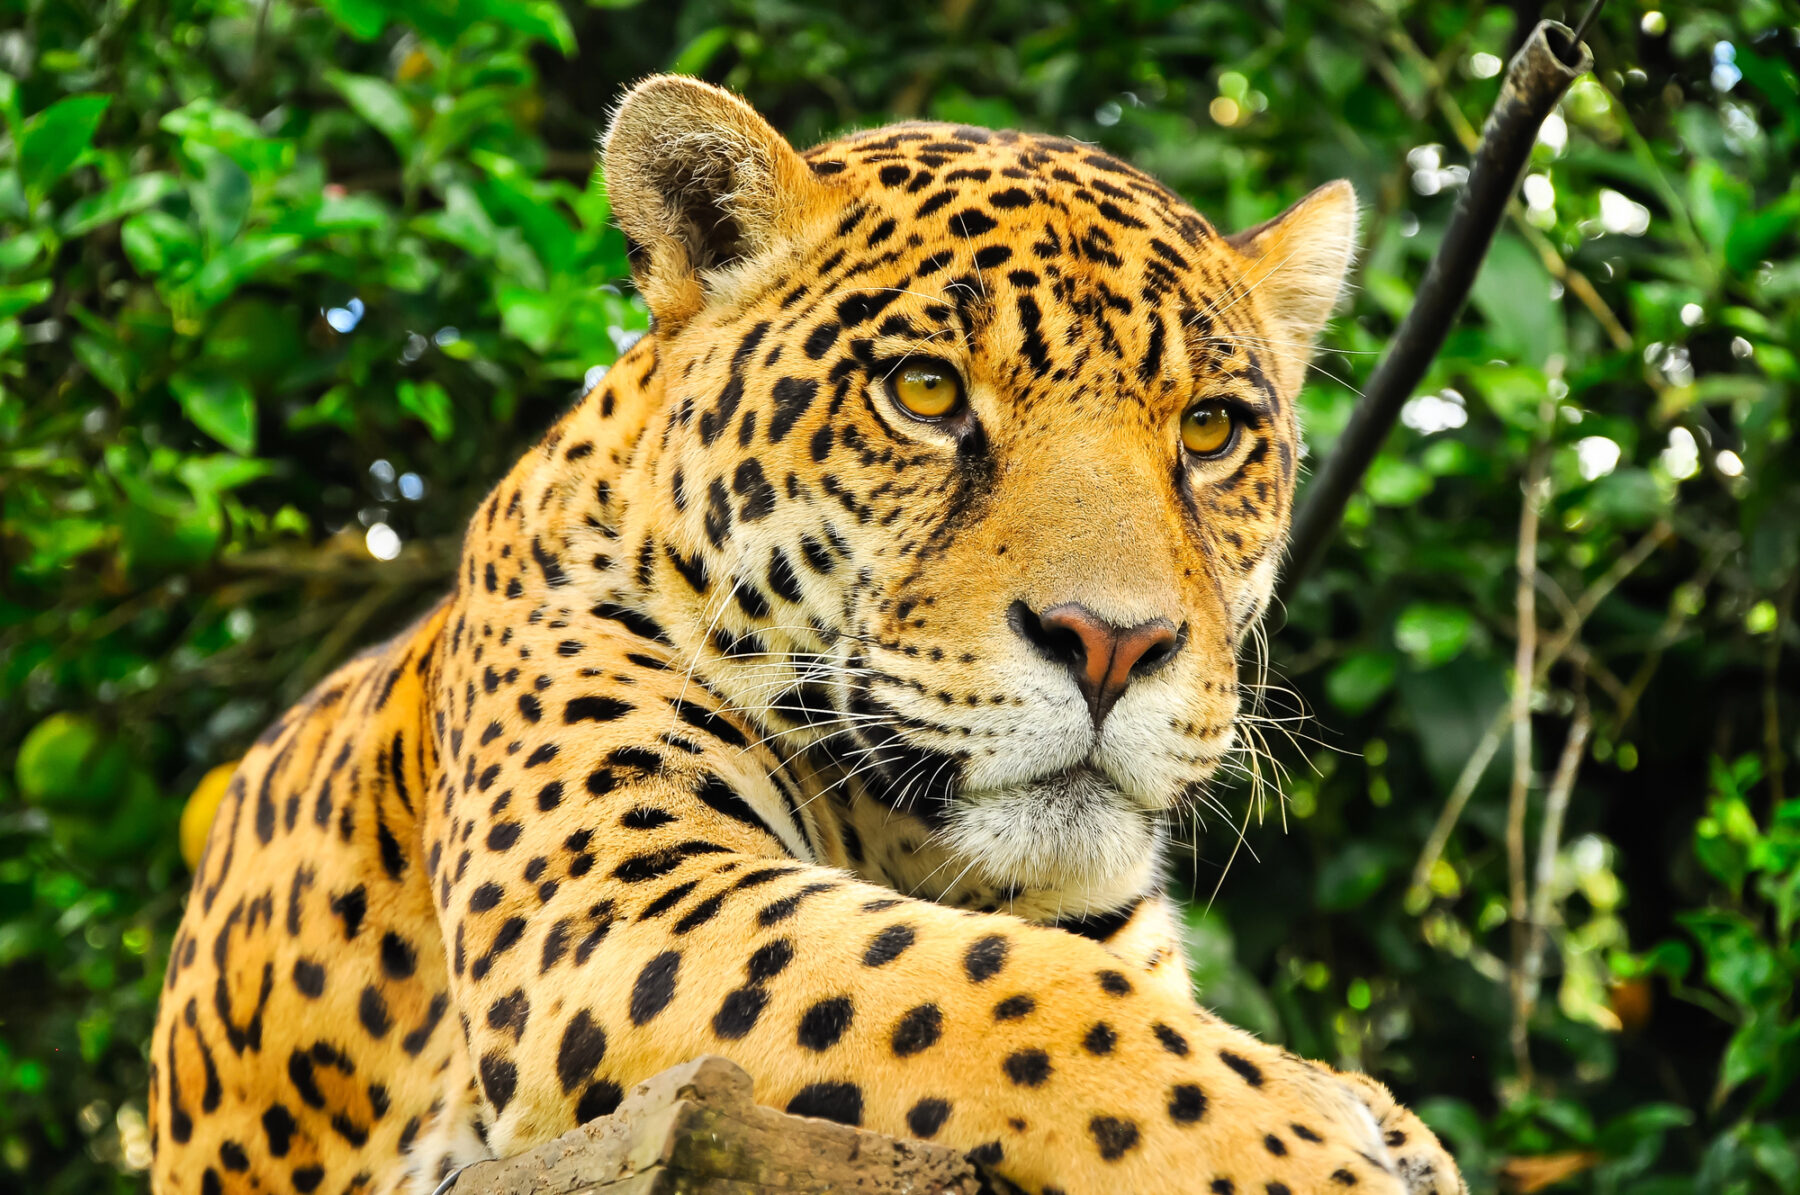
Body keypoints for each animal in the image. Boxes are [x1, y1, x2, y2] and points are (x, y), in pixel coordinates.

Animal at [150, 74, 1466, 1195]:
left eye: (1210, 431)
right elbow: (1001, 986)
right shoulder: (615, 904)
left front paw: (1370, 1115)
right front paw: (1307, 1151)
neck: (918, 844)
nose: (1110, 644)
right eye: (925, 392)